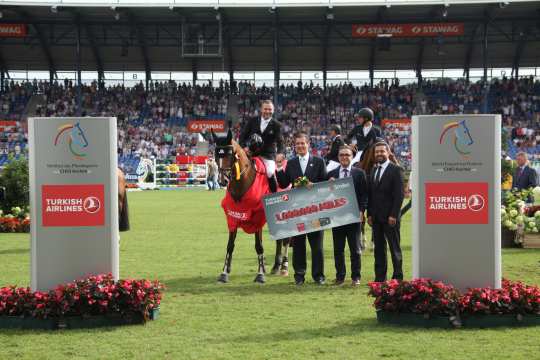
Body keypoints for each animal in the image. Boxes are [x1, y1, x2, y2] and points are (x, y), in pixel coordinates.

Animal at [212, 130, 268, 284]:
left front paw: (260, 274)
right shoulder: (233, 217)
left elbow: (258, 246)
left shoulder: (258, 219)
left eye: (230, 155)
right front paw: (224, 272)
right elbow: (230, 245)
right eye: (216, 155)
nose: (222, 181)